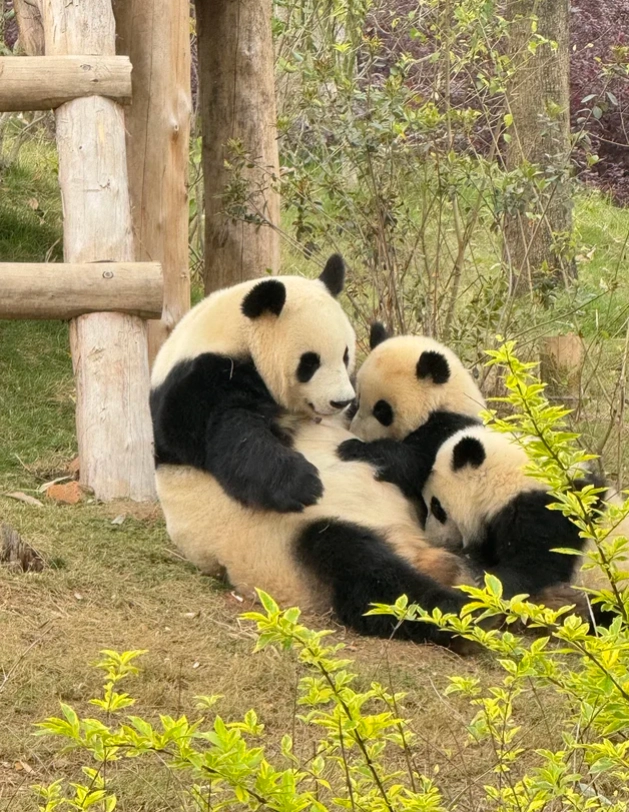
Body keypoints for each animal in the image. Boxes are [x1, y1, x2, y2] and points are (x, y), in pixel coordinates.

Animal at [150, 259, 476, 650]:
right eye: (310, 362)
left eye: (347, 354)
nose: (341, 402)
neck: (225, 334)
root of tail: (409, 545)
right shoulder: (194, 387)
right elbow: (231, 433)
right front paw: (301, 484)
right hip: (289, 542)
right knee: (364, 573)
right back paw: (459, 614)